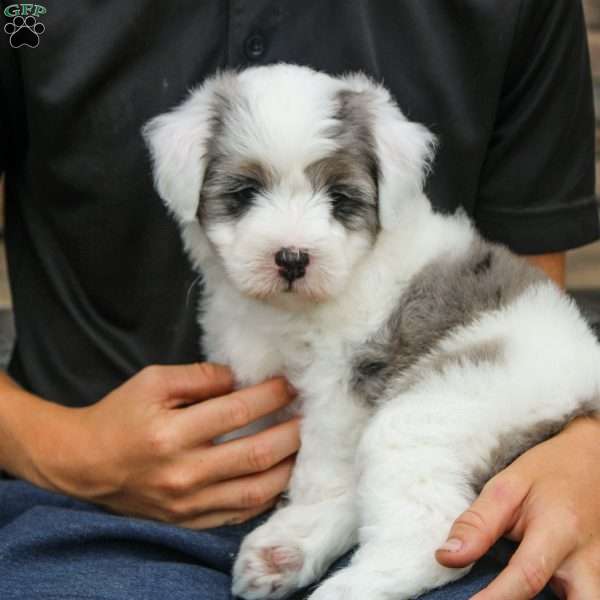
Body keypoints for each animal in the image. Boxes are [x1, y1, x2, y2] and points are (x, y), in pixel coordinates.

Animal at [144, 65, 600, 600]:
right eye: (245, 193)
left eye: (340, 198)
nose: (292, 258)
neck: (289, 311)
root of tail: (584, 390)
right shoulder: (249, 364)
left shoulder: (342, 384)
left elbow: (321, 470)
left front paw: (302, 516)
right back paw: (284, 555)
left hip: (439, 409)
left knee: (429, 533)